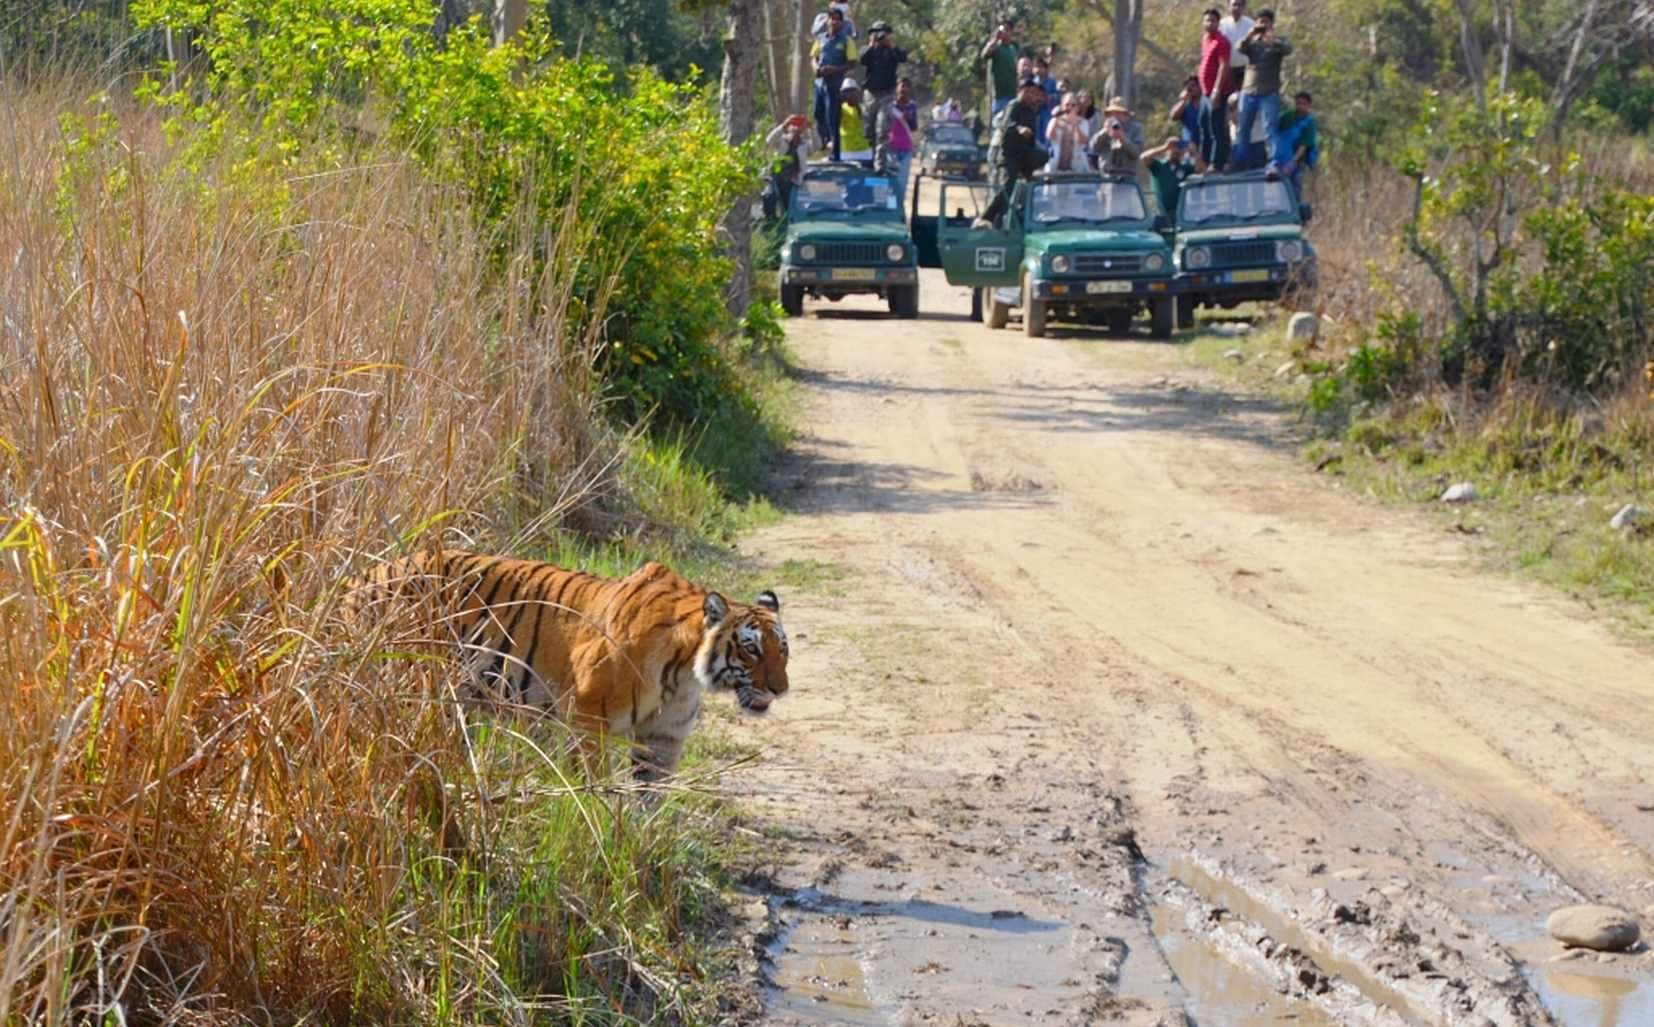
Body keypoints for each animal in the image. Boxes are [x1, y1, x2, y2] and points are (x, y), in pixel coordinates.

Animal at [345, 552, 790, 777]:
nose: (780, 689)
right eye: (751, 650)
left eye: (782, 650)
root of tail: (361, 575)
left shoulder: (663, 738)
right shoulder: (590, 720)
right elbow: (595, 783)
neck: (683, 676)